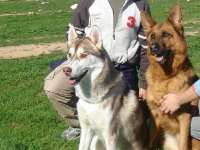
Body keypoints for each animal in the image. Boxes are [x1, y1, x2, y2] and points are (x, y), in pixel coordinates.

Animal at [141, 4, 198, 150]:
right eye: (152, 36)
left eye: (166, 34)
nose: (153, 48)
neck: (165, 78)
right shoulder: (154, 116)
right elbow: (148, 142)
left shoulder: (185, 117)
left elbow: (183, 144)